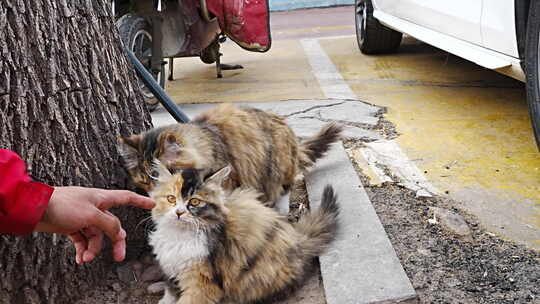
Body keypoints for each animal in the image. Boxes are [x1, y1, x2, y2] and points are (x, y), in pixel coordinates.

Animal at [148, 162, 340, 304]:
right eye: (171, 199)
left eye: (194, 202)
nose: (179, 213)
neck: (179, 235)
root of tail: (298, 241)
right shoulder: (172, 267)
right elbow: (170, 292)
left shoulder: (203, 281)